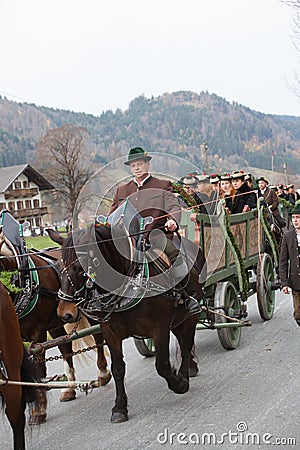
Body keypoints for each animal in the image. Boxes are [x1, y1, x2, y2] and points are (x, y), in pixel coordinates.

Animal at [0, 230, 111, 424]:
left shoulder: (37, 334)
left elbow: (39, 368)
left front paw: (39, 410)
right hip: (56, 324)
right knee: (66, 349)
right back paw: (69, 388)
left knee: (98, 337)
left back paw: (103, 373)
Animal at [48, 223, 204, 424]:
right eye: (58, 268)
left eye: (79, 268)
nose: (64, 313)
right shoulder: (111, 333)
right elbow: (118, 369)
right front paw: (120, 407)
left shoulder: (160, 329)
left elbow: (162, 365)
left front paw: (178, 384)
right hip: (177, 321)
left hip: (191, 317)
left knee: (185, 344)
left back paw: (185, 374)